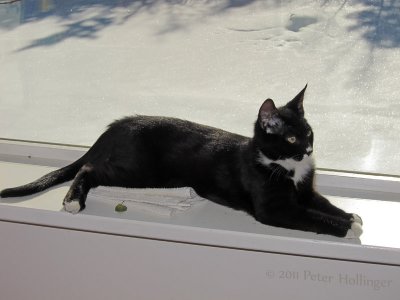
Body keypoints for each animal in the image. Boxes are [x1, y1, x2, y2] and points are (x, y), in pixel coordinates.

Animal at [0, 86, 362, 237]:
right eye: (290, 139)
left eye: (309, 133)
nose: (308, 151)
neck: (286, 167)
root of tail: (117, 126)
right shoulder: (273, 208)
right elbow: (309, 216)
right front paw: (344, 227)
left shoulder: (305, 191)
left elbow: (321, 203)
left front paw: (350, 216)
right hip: (139, 172)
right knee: (89, 169)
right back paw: (73, 201)